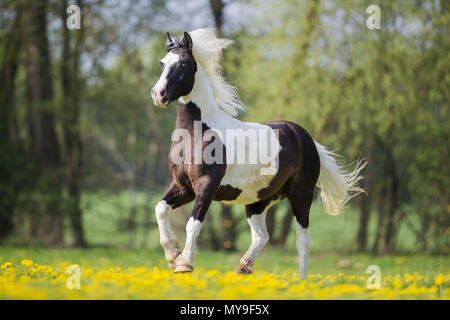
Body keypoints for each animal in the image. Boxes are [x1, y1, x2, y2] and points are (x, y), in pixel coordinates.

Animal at [151, 28, 366, 278]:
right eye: (163, 62)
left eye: (184, 63)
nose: (158, 94)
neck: (198, 135)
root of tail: (305, 137)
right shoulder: (183, 186)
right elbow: (160, 209)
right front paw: (172, 255)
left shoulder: (206, 185)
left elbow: (193, 224)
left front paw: (184, 263)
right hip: (258, 201)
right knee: (262, 236)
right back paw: (243, 267)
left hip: (301, 195)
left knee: (303, 241)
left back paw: (301, 280)